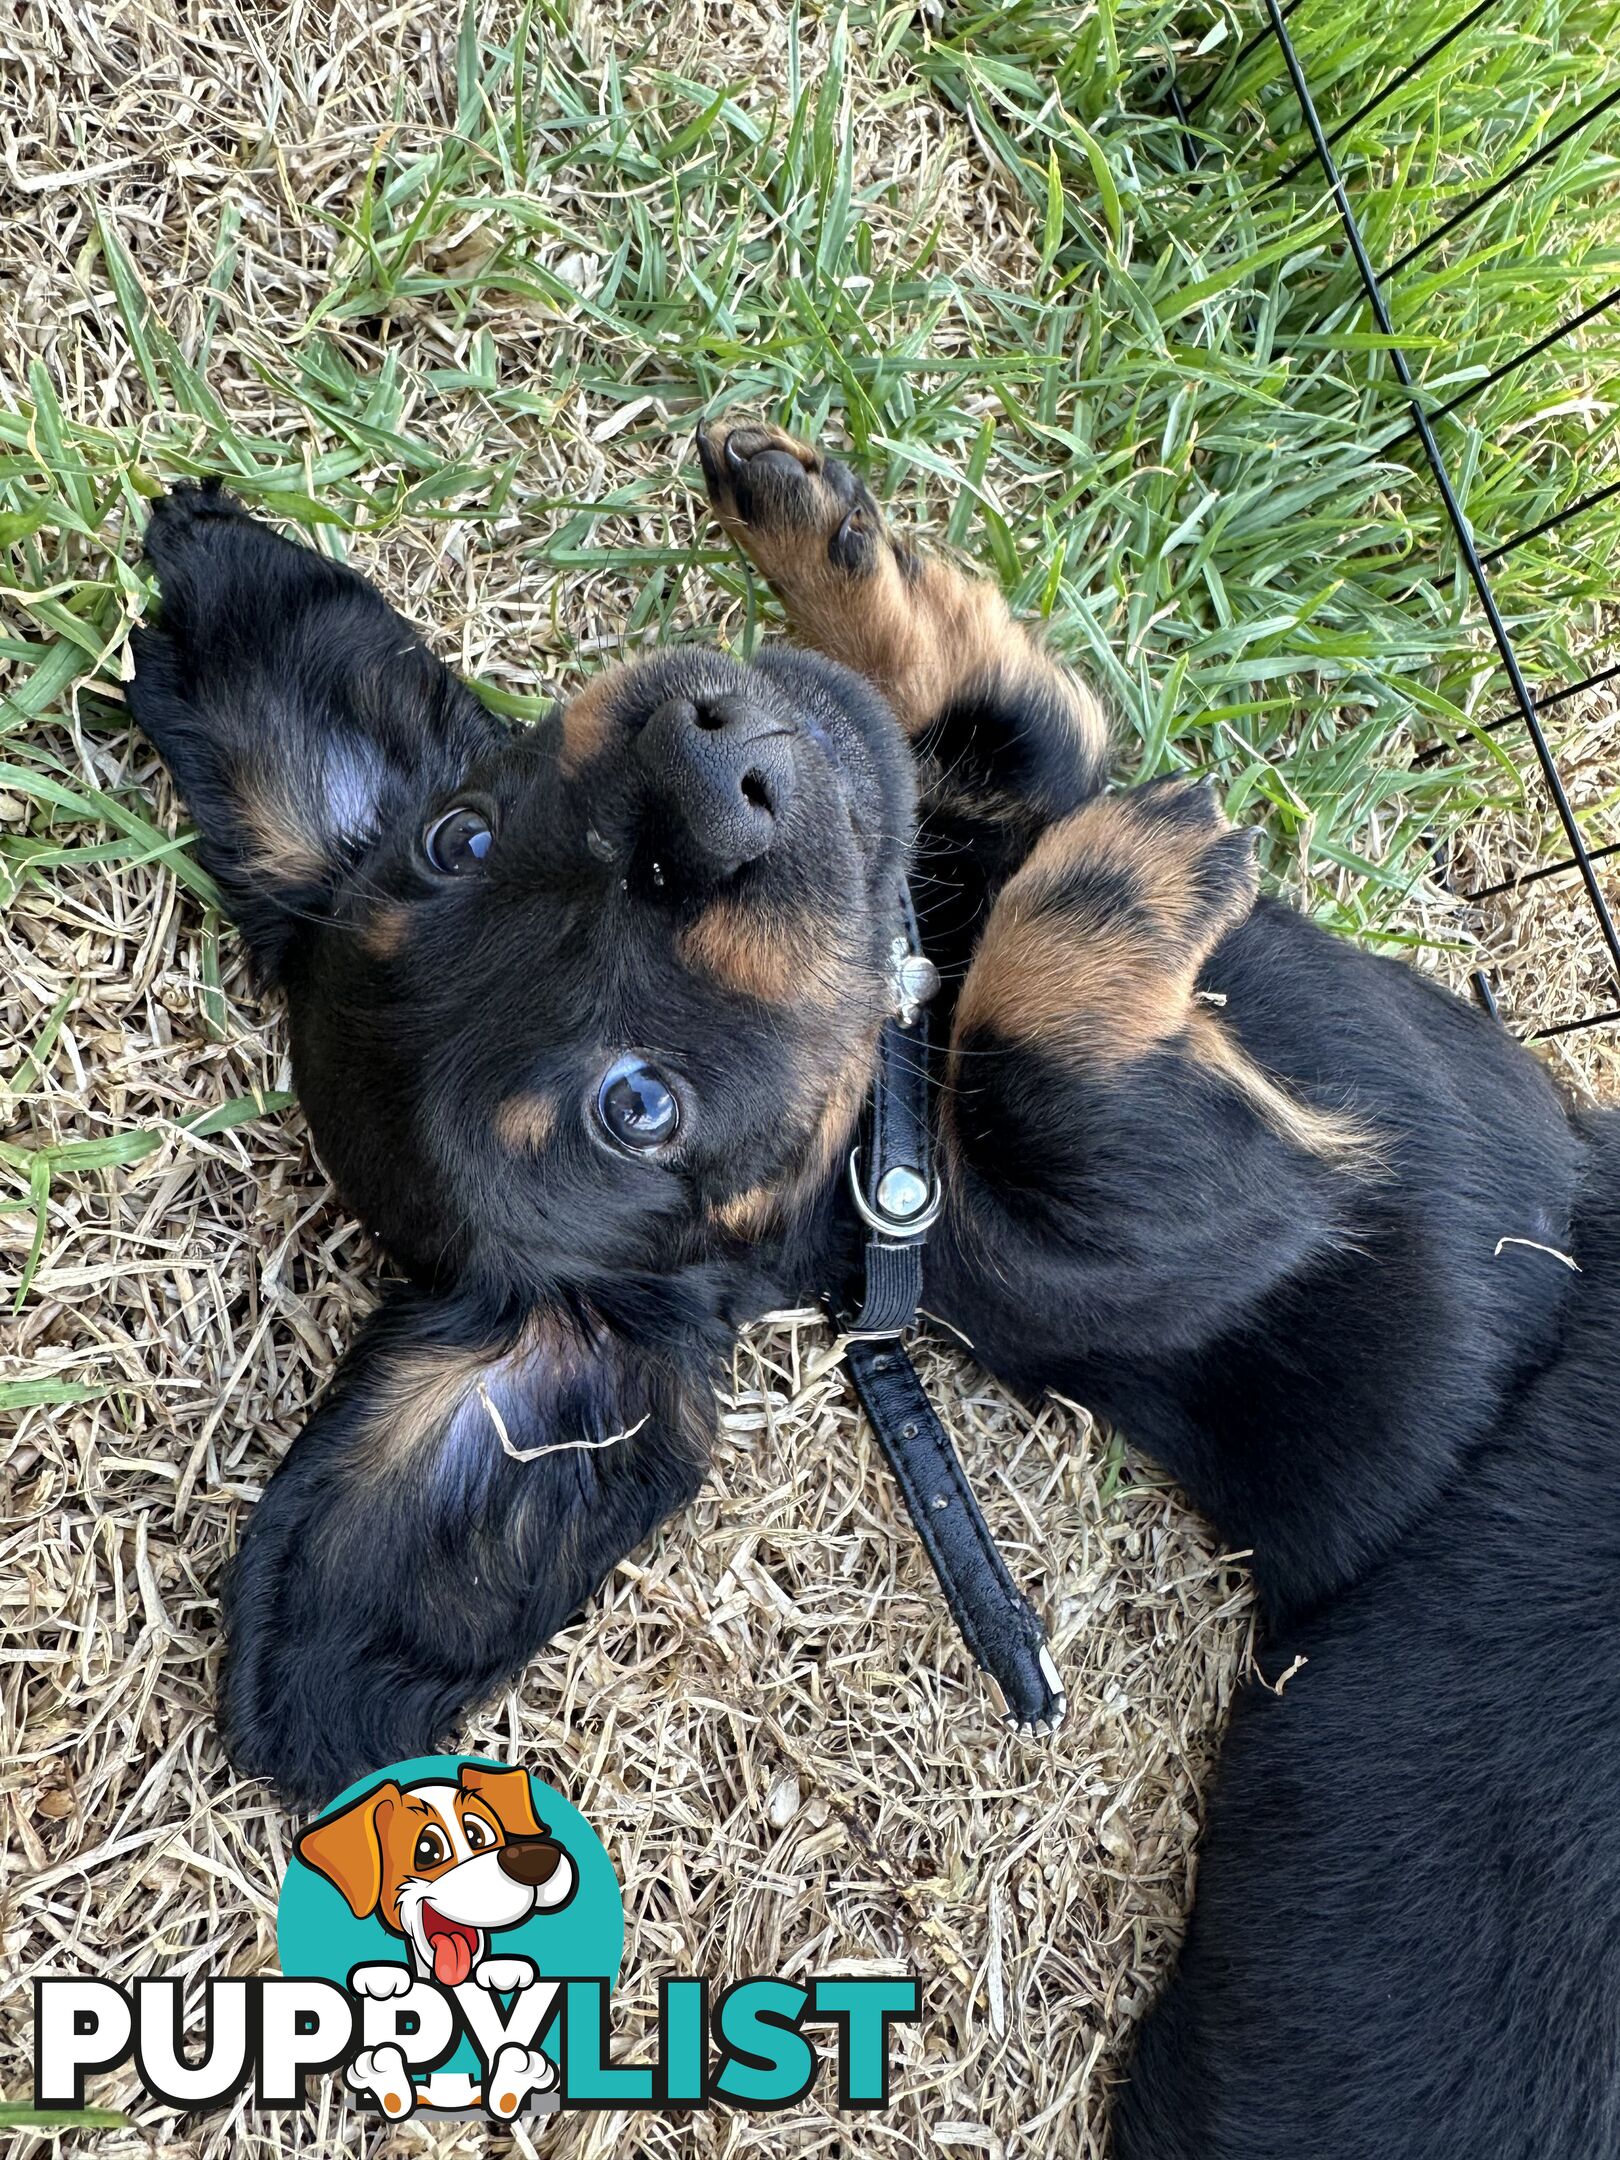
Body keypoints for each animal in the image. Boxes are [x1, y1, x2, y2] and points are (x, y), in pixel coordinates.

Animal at [130, 429, 1620, 2151]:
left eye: (461, 840)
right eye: (633, 1108)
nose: (703, 765)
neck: (889, 1070)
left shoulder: (984, 793)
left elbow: (973, 710)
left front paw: (813, 524)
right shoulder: (1148, 1214)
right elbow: (1041, 1063)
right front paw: (1138, 874)